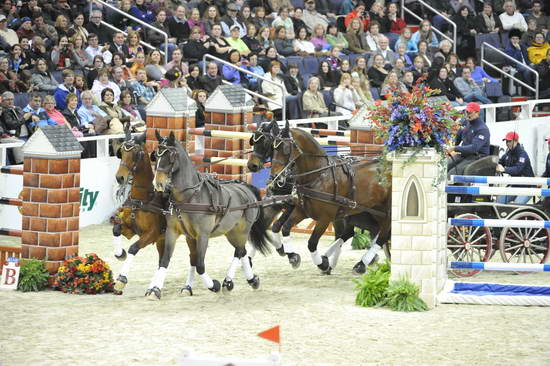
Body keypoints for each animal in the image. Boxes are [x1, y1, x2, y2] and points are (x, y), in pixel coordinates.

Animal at [110, 130, 166, 294]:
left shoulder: (151, 234)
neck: (143, 198)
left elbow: (133, 248)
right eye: (121, 152)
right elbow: (116, 229)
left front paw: (121, 279)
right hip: (162, 239)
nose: (120, 177)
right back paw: (153, 286)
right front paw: (120, 253)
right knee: (162, 260)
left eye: (135, 154)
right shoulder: (130, 229)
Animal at [151, 130, 274, 298]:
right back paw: (247, 280)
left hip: (242, 231)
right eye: (155, 155)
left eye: (171, 156)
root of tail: (246, 187)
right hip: (230, 232)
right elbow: (167, 260)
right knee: (242, 251)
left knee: (239, 251)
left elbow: (200, 265)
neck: (190, 197)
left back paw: (233, 281)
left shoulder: (203, 235)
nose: (158, 184)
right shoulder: (176, 232)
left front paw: (213, 285)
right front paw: (156, 289)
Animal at [266, 124, 392, 274]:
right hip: (373, 212)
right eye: (273, 149)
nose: (275, 178)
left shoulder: (324, 219)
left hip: (386, 212)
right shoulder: (302, 211)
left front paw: (323, 264)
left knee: (382, 236)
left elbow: (312, 243)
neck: (318, 175)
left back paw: (361, 263)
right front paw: (293, 256)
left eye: (285, 148)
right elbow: (285, 228)